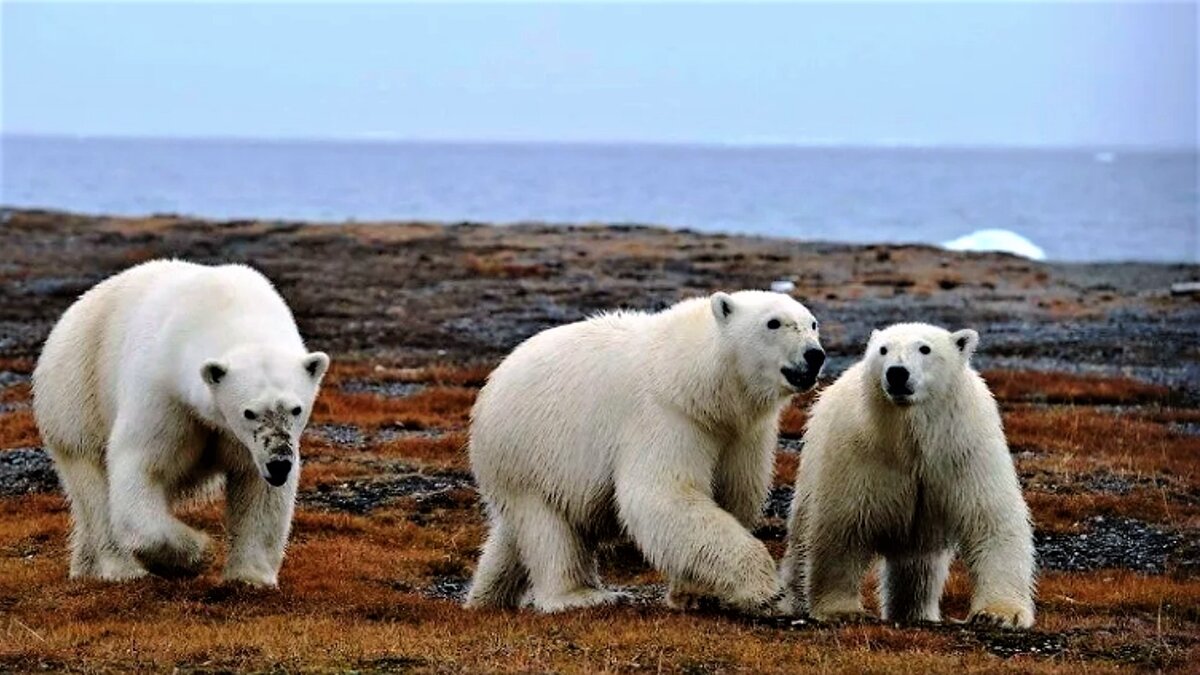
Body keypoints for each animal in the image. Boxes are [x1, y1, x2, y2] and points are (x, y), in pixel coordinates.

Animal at [31, 257, 328, 583]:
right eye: (249, 412)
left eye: (296, 409)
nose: (279, 464)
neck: (225, 307)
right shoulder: (164, 392)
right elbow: (141, 466)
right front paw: (198, 553)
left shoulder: (242, 440)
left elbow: (256, 486)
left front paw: (250, 578)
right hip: (78, 394)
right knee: (93, 484)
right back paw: (120, 568)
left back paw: (83, 567)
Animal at [465, 288, 825, 610]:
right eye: (773, 323)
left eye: (812, 323)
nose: (815, 354)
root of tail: (492, 383)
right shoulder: (666, 417)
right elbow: (663, 494)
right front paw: (765, 588)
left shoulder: (740, 434)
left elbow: (733, 494)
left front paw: (694, 593)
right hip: (531, 453)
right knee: (549, 528)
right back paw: (581, 595)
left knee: (513, 535)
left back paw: (486, 597)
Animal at [782, 319, 1036, 624]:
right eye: (883, 349)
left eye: (925, 348)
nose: (897, 372)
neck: (911, 434)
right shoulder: (861, 454)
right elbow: (843, 525)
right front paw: (842, 610)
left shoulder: (963, 451)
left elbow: (990, 519)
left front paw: (999, 614)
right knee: (801, 535)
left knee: (919, 566)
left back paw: (916, 611)